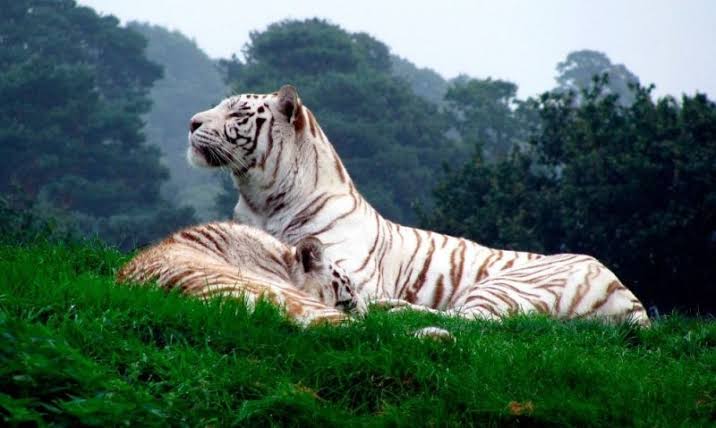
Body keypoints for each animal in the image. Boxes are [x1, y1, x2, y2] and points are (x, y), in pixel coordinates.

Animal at [186, 85, 649, 326]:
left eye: (239, 113)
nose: (191, 122)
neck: (260, 199)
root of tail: (633, 300)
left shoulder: (350, 271)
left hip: (508, 283)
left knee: (477, 321)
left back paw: (395, 309)